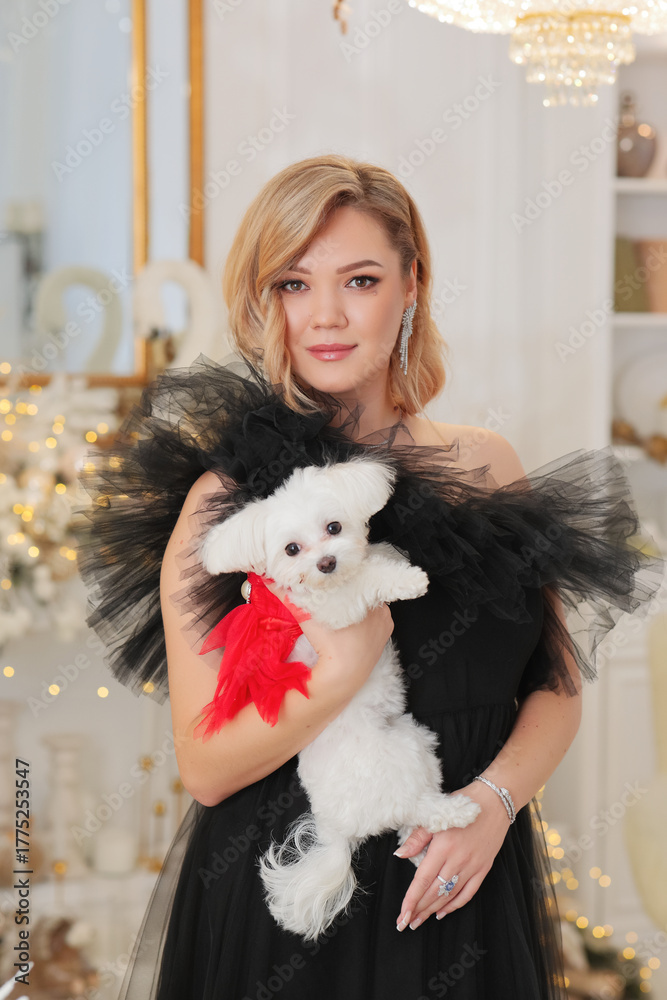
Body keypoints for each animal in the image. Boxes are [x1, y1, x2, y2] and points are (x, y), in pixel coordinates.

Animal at [199, 456, 481, 941]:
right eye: (292, 549)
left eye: (334, 527)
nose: (327, 562)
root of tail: (337, 833)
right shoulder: (334, 612)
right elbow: (365, 581)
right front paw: (405, 579)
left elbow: (372, 556)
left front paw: (389, 554)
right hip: (400, 756)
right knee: (421, 808)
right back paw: (459, 811)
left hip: (413, 740)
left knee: (409, 826)